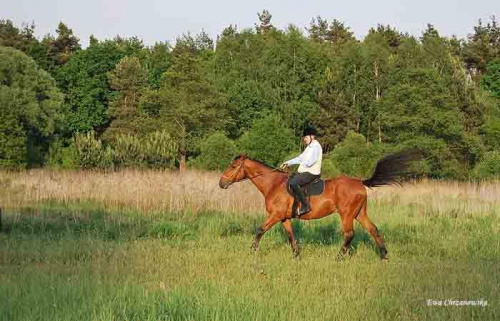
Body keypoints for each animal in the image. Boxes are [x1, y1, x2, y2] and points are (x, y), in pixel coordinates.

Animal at [219, 150, 418, 260]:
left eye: (233, 166)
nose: (221, 183)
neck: (273, 184)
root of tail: (360, 183)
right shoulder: (284, 218)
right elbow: (291, 237)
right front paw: (297, 256)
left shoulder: (275, 216)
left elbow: (259, 230)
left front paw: (252, 251)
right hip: (359, 213)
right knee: (373, 229)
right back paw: (384, 256)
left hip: (346, 214)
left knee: (349, 234)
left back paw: (338, 258)